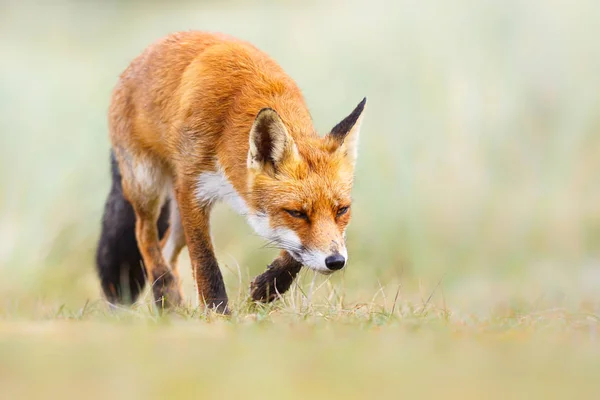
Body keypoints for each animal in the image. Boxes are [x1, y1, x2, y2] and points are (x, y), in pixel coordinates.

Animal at [95, 32, 366, 312]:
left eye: (342, 210)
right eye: (296, 213)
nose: (336, 261)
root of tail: (140, 57)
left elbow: (295, 253)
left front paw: (268, 287)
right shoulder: (192, 189)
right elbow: (205, 263)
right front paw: (218, 312)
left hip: (176, 215)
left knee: (165, 249)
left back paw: (172, 304)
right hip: (147, 185)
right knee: (145, 238)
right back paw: (165, 294)